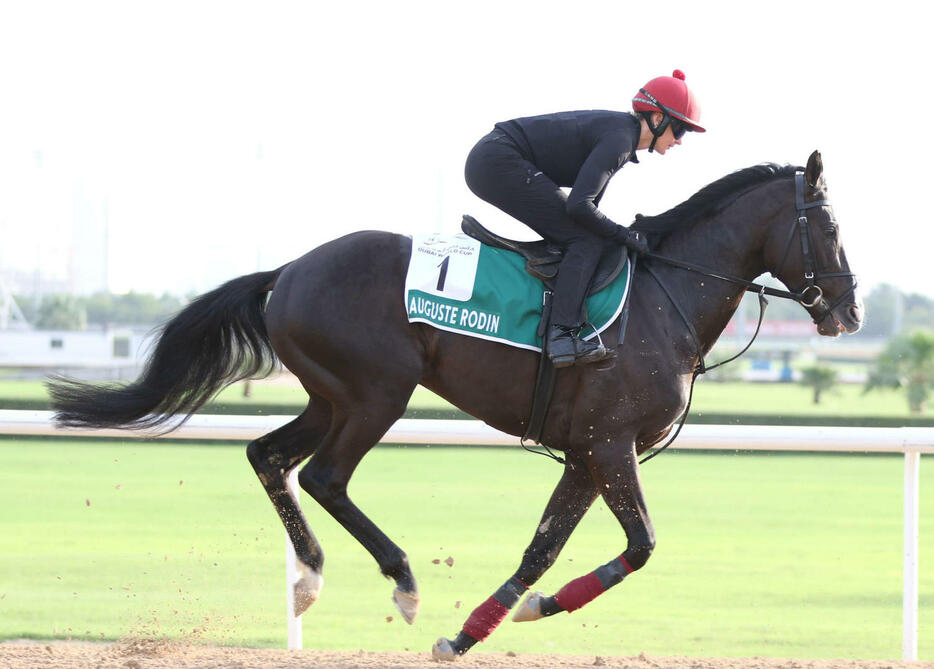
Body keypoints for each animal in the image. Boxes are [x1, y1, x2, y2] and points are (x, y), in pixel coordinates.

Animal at [45, 149, 864, 656]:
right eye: (829, 225)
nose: (849, 312)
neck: (667, 294)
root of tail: (290, 269)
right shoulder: (611, 443)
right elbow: (641, 544)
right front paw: (506, 614)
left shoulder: (585, 452)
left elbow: (542, 547)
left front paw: (480, 627)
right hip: (378, 390)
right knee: (325, 476)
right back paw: (401, 581)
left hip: (331, 393)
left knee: (269, 455)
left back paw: (310, 577)